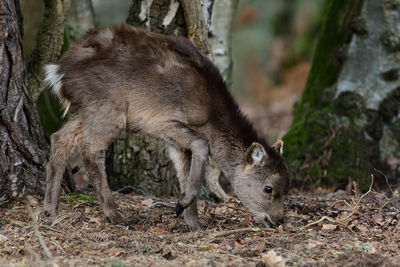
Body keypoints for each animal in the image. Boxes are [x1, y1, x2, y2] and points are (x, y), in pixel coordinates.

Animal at [43, 24, 290, 231]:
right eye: (268, 188)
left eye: (287, 189)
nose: (278, 220)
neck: (210, 114)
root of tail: (58, 71)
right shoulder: (163, 121)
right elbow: (202, 146)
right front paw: (181, 206)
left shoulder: (177, 145)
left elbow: (185, 171)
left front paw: (194, 224)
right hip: (107, 107)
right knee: (90, 149)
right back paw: (116, 216)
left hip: (83, 109)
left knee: (59, 138)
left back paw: (50, 210)